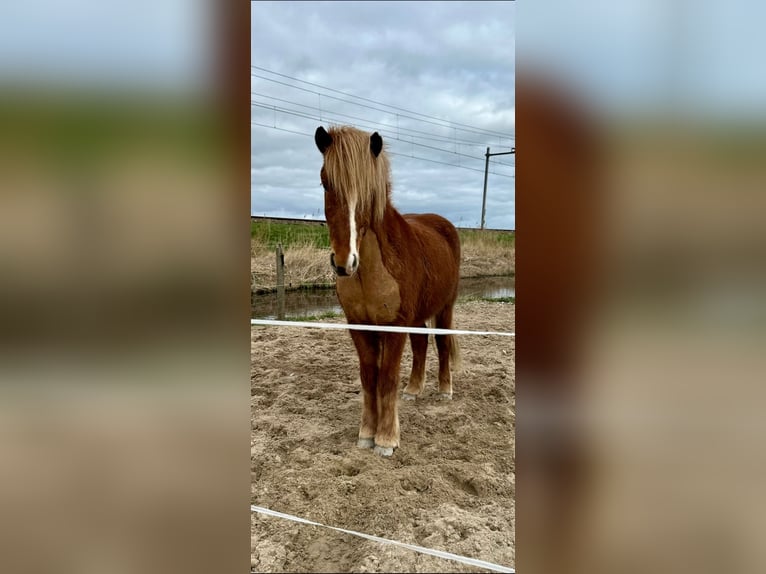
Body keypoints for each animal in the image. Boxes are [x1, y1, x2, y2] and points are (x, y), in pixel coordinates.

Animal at [314, 126, 462, 460]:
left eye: (369, 191)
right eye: (325, 182)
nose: (343, 263)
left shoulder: (394, 327)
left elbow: (388, 378)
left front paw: (386, 440)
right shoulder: (359, 326)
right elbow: (370, 377)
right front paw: (366, 435)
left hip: (445, 307)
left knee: (442, 344)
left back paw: (445, 390)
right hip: (418, 317)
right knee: (421, 346)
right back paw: (414, 390)